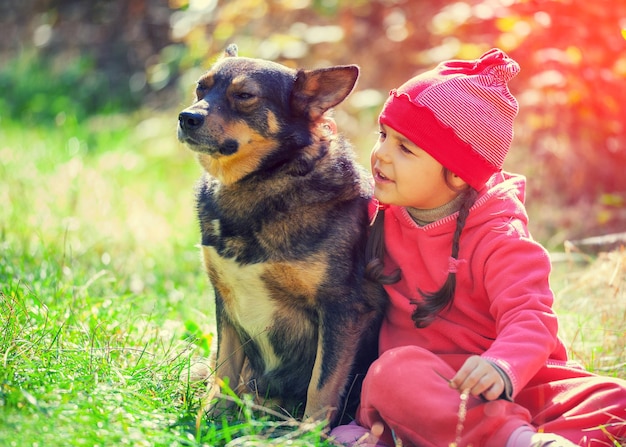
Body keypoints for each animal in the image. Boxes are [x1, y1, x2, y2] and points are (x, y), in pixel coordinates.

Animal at [173, 44, 382, 428]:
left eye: (244, 96)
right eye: (200, 88)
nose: (186, 117)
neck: (262, 181)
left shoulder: (342, 308)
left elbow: (322, 384)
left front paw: (309, 434)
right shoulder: (224, 300)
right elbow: (224, 371)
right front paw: (211, 421)